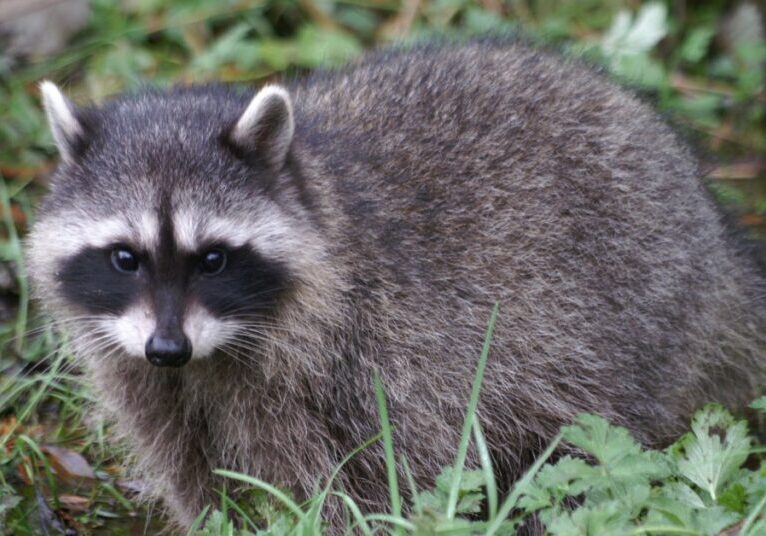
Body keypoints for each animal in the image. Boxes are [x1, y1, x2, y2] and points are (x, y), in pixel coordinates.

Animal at [27, 40, 766, 528]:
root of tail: (714, 230)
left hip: (638, 310)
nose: (167, 349)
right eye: (125, 258)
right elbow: (190, 470)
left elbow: (364, 485)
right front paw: (213, 518)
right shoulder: (140, 371)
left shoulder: (380, 357)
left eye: (212, 259)